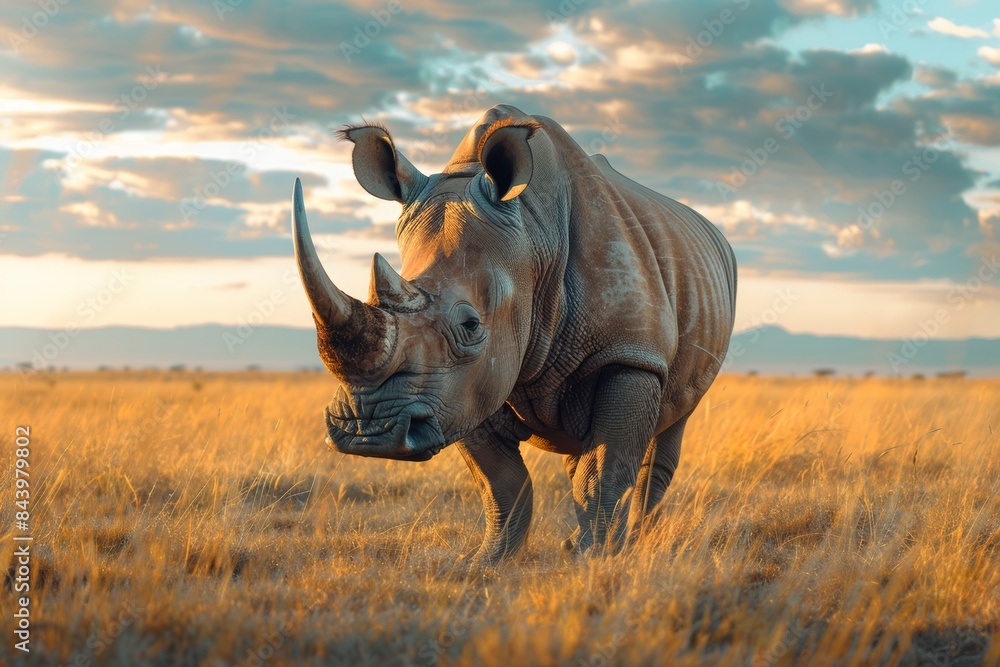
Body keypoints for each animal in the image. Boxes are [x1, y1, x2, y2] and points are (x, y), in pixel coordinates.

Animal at [292, 104, 736, 564]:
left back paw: (634, 543)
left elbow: (605, 472)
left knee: (667, 429)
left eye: (471, 325)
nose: (368, 432)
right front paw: (488, 561)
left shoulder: (629, 354)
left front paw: (592, 560)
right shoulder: (462, 388)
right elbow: (500, 481)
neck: (534, 238)